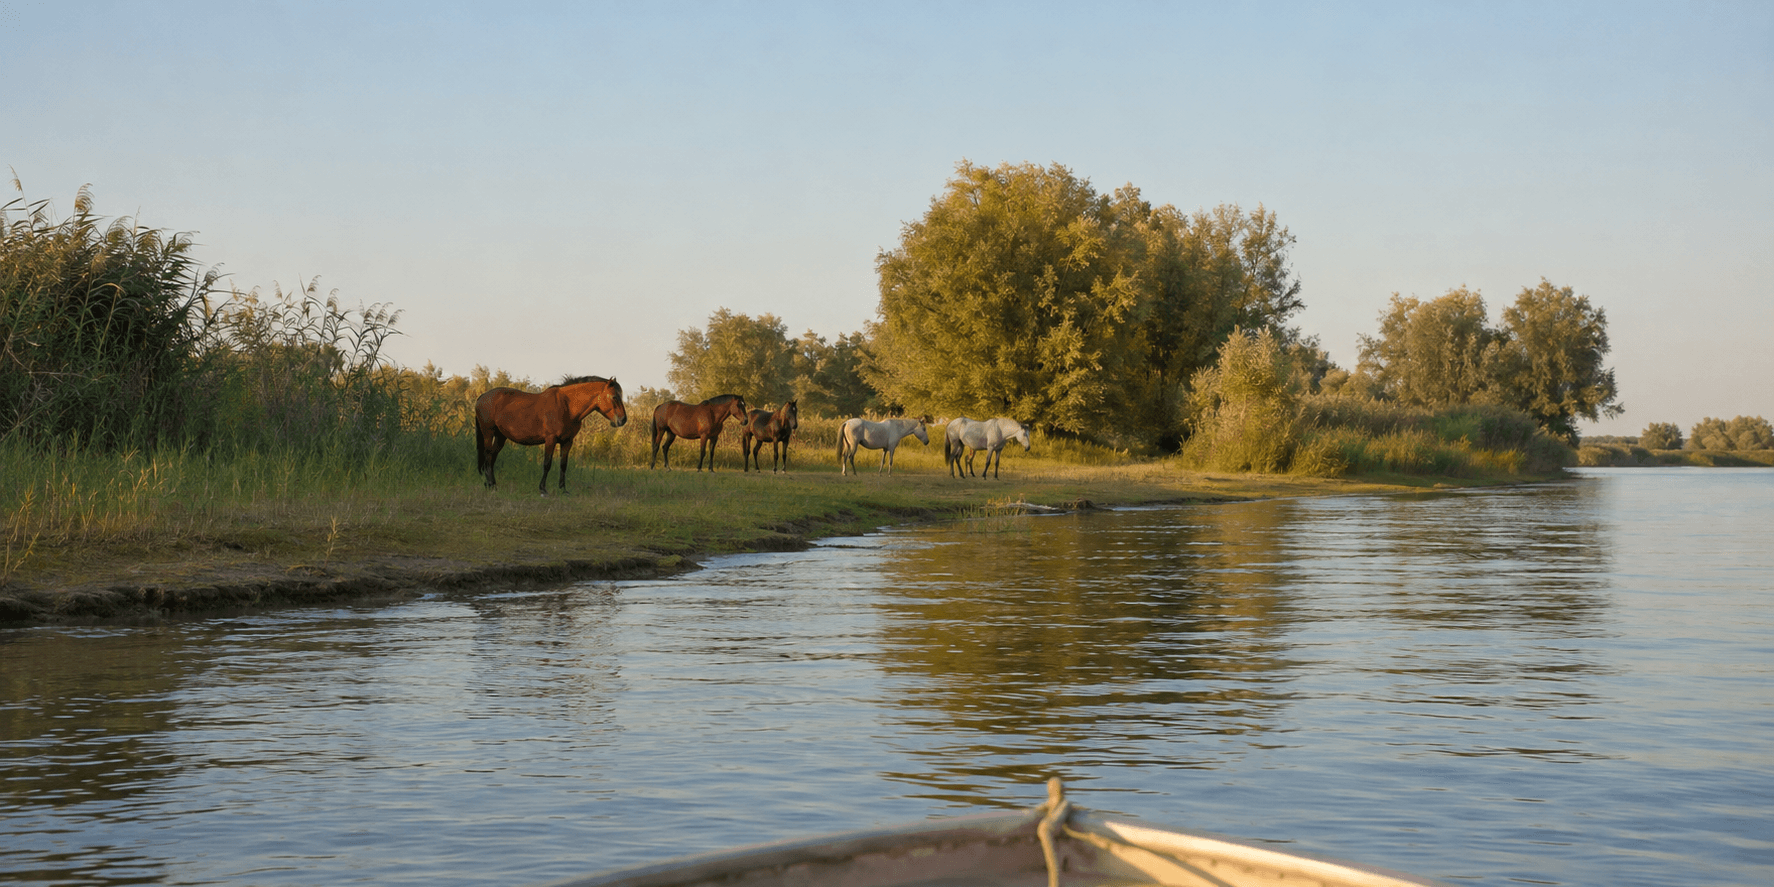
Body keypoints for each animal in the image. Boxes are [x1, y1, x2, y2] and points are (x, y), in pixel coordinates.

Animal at [475, 376, 627, 495]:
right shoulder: (550, 439)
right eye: (614, 397)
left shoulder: (567, 441)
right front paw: (543, 489)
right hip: (488, 433)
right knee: (488, 456)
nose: (623, 420)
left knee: (492, 457)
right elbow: (547, 463)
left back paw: (492, 484)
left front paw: (563, 489)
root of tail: (482, 397)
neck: (566, 406)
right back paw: (490, 484)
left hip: (501, 437)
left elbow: (563, 465)